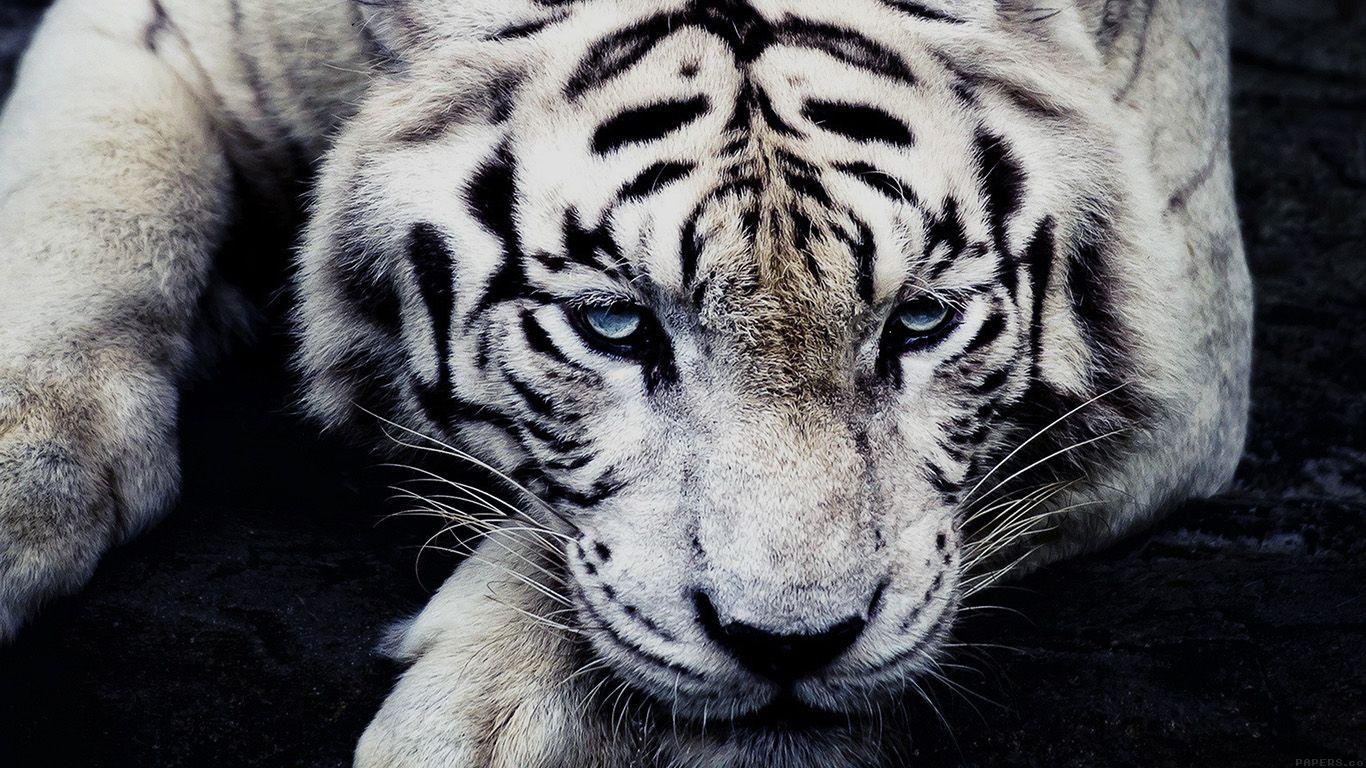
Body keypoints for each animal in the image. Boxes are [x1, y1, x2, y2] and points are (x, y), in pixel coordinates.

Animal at [0, 0, 1251, 765]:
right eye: (613, 324)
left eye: (921, 321)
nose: (793, 648)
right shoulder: (159, 33)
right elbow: (85, 218)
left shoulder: (1181, 349)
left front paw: (478, 722)